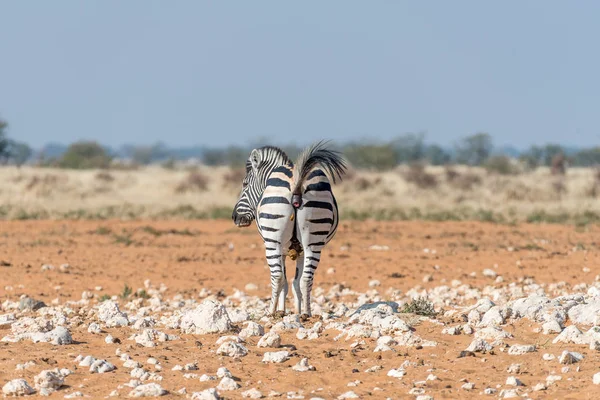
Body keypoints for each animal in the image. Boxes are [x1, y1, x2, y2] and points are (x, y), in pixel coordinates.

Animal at [232, 141, 350, 318]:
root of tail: (297, 179)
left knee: (277, 276)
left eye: (245, 184)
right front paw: (297, 311)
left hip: (273, 242)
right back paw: (307, 313)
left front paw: (281, 311)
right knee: (307, 278)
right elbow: (295, 283)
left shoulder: (282, 250)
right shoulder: (300, 251)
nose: (235, 218)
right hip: (313, 241)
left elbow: (285, 282)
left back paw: (270, 312)